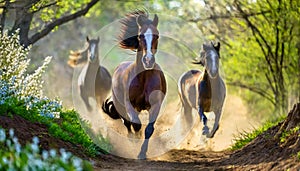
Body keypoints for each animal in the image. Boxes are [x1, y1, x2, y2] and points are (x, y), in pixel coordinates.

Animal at [102, 10, 168, 158]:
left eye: (157, 35)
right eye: (139, 36)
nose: (148, 60)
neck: (143, 78)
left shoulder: (156, 105)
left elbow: (149, 129)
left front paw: (142, 153)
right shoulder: (129, 104)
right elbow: (136, 124)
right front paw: (135, 144)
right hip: (121, 105)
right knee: (127, 123)